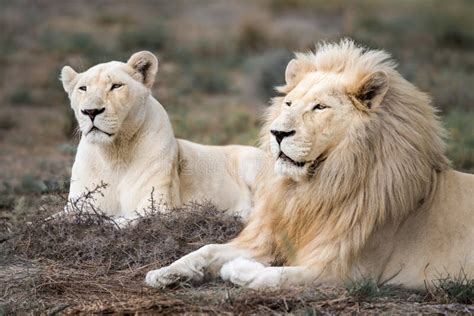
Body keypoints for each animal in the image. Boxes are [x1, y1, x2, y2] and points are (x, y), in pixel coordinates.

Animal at [60, 50, 266, 223]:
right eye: (83, 88)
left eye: (116, 86)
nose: (91, 111)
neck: (113, 154)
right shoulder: (76, 205)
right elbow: (55, 220)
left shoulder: (158, 207)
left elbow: (117, 222)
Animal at [146, 40, 474, 292]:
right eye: (289, 103)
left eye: (320, 107)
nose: (277, 133)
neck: (311, 190)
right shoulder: (268, 238)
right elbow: (207, 249)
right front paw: (164, 272)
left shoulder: (344, 272)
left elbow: (276, 276)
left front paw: (237, 270)